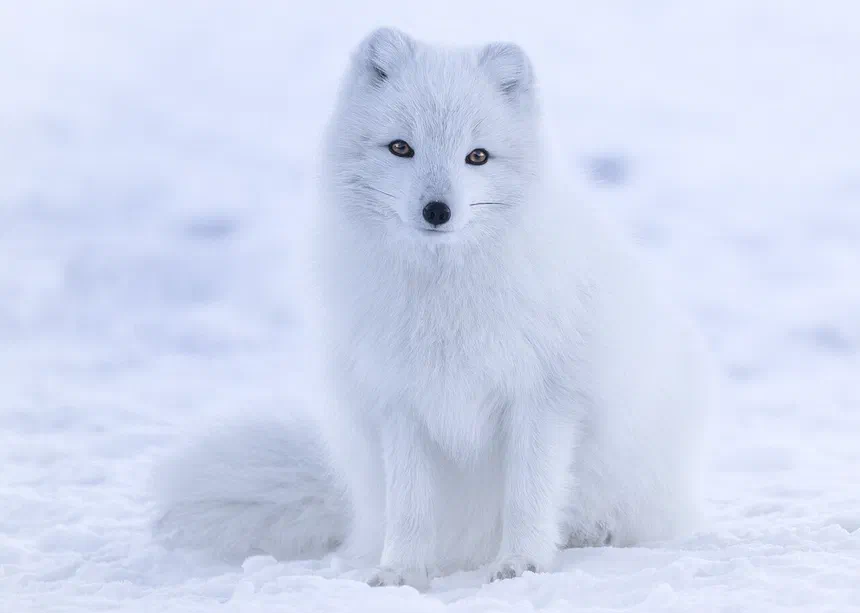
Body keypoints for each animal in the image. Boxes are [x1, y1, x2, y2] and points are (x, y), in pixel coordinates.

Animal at [154, 27, 715, 589]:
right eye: (401, 147)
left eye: (478, 157)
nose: (437, 210)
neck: (444, 297)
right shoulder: (401, 403)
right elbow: (410, 507)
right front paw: (400, 572)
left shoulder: (544, 398)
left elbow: (529, 496)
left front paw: (522, 565)